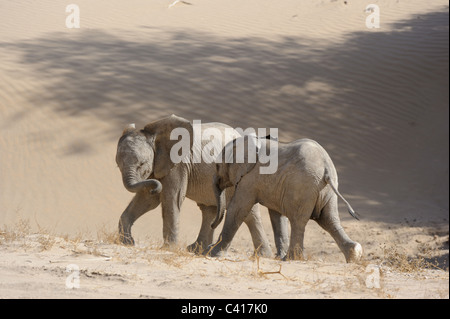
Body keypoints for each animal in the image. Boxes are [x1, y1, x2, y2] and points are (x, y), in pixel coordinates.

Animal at [113, 115, 288, 258]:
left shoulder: (179, 164)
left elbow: (171, 198)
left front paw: (168, 248)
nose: (155, 186)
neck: (153, 135)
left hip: (242, 176)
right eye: (118, 165)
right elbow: (148, 199)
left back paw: (262, 255)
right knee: (209, 210)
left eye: (142, 164)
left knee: (248, 213)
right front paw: (126, 242)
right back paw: (198, 250)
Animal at [210, 135, 362, 262]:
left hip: (303, 186)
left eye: (217, 166)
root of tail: (326, 168)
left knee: (298, 221)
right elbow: (276, 215)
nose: (212, 224)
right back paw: (354, 255)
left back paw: (291, 259)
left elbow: (237, 208)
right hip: (326, 190)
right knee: (328, 219)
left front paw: (212, 254)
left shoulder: (249, 178)